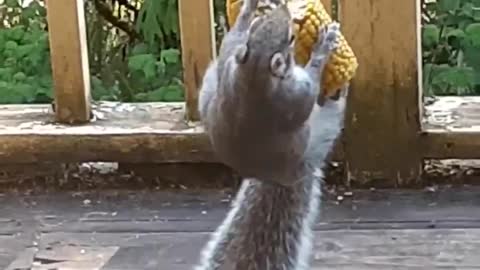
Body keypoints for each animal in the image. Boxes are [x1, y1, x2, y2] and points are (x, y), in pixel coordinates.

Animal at [195, 0, 348, 266]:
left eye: (256, 25)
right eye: (290, 38)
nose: (285, 11)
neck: (254, 76)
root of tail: (271, 175)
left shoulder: (231, 66)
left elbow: (230, 44)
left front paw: (247, 10)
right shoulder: (295, 95)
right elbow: (310, 88)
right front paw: (323, 47)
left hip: (209, 92)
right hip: (316, 140)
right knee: (328, 119)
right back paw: (337, 96)